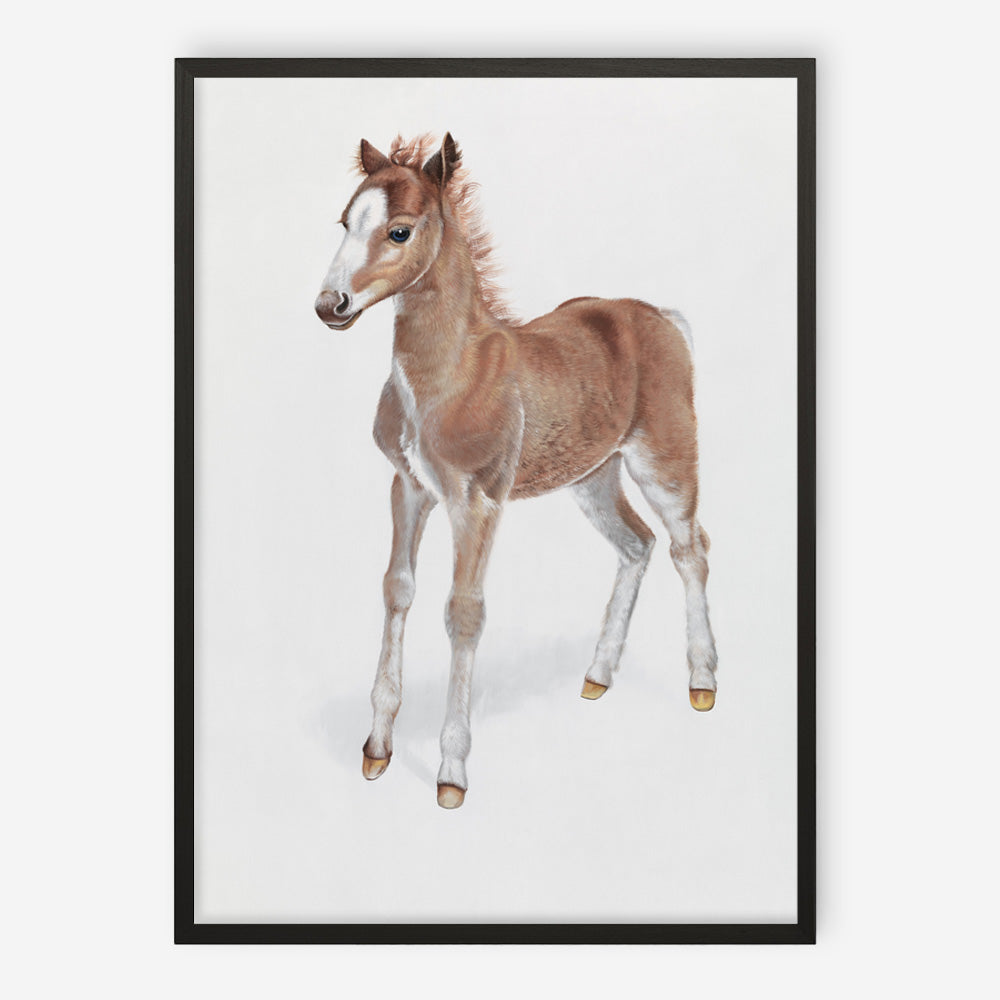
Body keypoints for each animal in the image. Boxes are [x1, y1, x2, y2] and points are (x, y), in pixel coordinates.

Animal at [315, 133, 717, 809]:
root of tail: (662, 316)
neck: (448, 374)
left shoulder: (476, 502)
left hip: (663, 462)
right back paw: (597, 676)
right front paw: (376, 750)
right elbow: (398, 590)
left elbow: (463, 613)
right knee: (636, 544)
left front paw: (451, 773)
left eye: (399, 231)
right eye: (346, 222)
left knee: (689, 549)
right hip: (592, 477)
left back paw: (703, 681)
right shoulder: (410, 489)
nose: (329, 304)